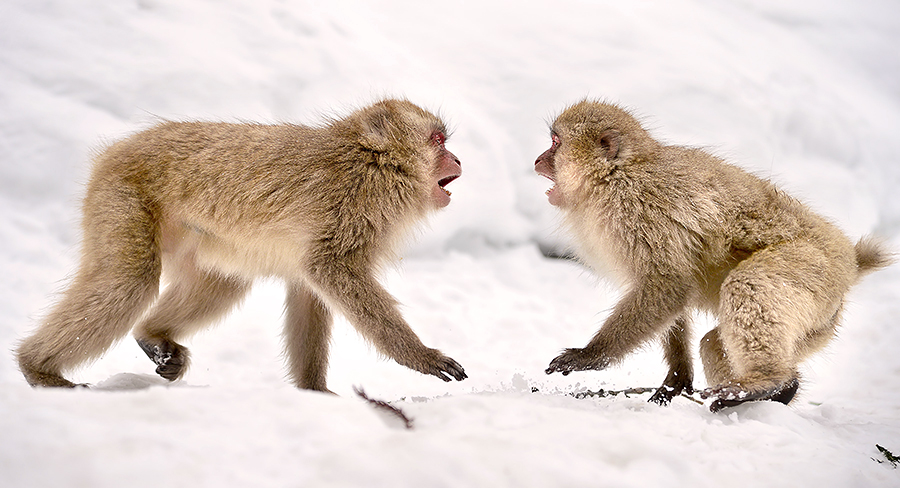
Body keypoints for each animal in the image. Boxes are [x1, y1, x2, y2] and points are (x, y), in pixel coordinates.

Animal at [16, 98, 468, 391]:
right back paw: (37, 368)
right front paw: (420, 355)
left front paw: (315, 393)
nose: (459, 159)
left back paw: (152, 334)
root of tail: (116, 151)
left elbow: (309, 287)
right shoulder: (352, 205)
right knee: (128, 281)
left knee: (224, 282)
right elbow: (331, 269)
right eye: (438, 140)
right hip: (121, 196)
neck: (376, 165)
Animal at [536, 99, 891, 412]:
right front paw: (676, 378)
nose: (538, 160)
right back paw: (776, 390)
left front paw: (590, 355)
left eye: (555, 142)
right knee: (714, 343)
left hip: (813, 272)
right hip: (820, 323)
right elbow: (673, 294)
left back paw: (767, 382)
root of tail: (850, 262)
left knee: (749, 283)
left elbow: (668, 285)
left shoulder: (636, 212)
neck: (615, 175)